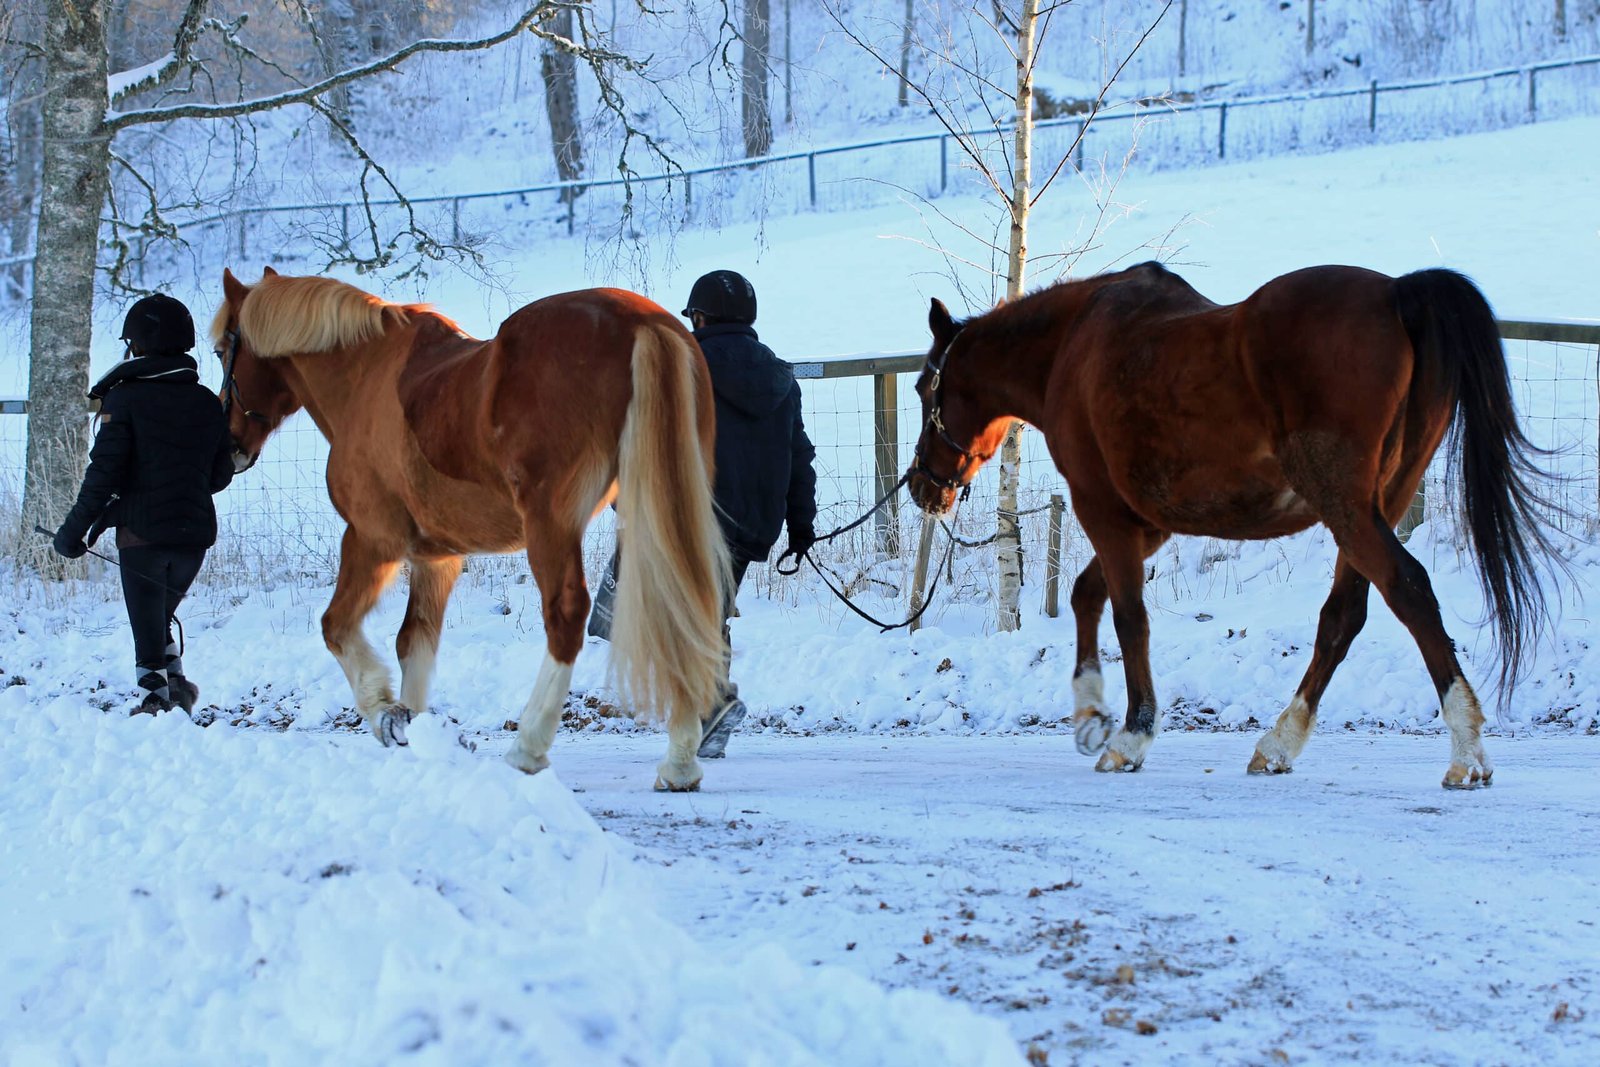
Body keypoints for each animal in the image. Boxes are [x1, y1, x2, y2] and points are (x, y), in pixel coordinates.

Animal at [210, 268, 731, 791]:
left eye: (219, 351)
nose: (229, 446)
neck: (366, 377)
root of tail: (643, 322)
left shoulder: (371, 540)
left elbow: (336, 626)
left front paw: (386, 714)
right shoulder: (436, 558)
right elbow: (413, 642)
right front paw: (415, 731)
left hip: (553, 524)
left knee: (567, 615)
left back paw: (528, 749)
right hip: (662, 505)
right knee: (682, 608)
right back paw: (680, 762)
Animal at [908, 262, 1554, 789]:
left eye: (922, 387)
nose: (921, 485)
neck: (1074, 343)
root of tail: (1399, 293)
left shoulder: (1102, 509)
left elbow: (1128, 618)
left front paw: (1131, 735)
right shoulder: (1149, 523)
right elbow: (1087, 594)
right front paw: (1091, 714)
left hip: (1345, 506)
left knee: (1410, 591)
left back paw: (1466, 751)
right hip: (1379, 504)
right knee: (1343, 617)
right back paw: (1279, 744)